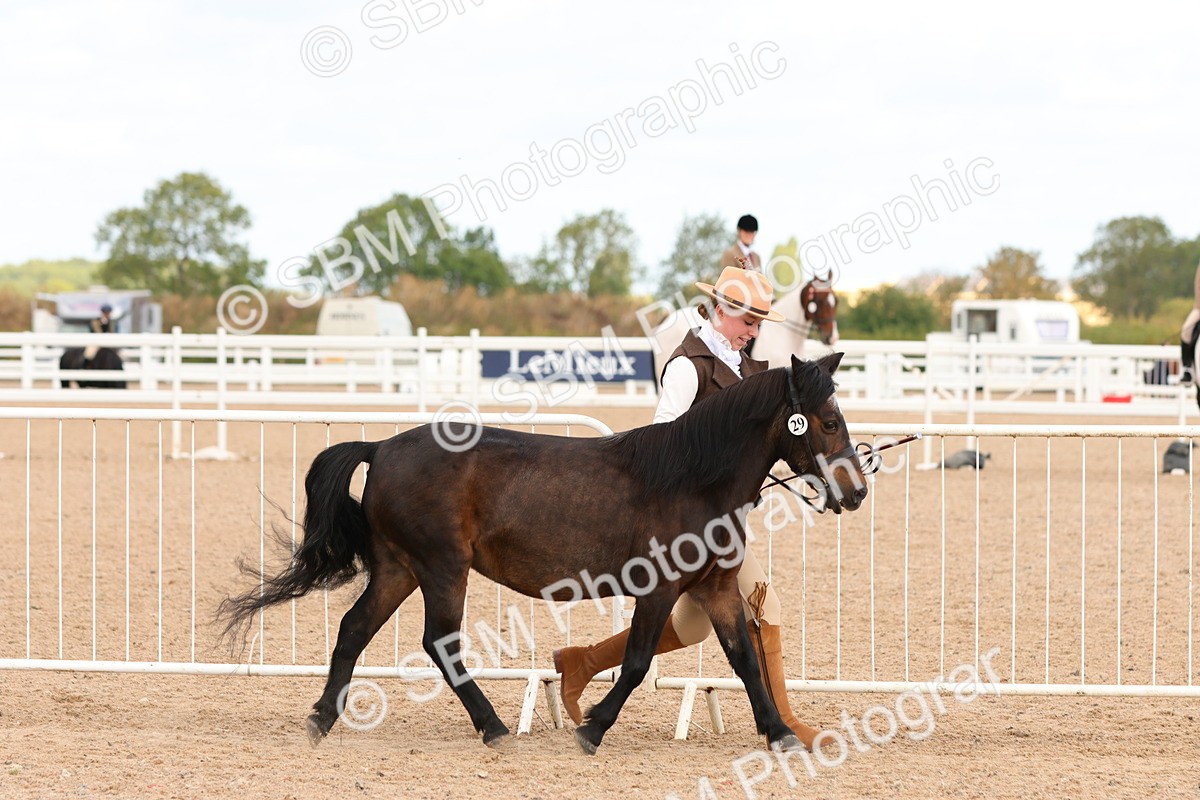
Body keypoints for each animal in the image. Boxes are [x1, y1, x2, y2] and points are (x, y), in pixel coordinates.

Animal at [222, 353, 867, 755]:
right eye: (827, 421)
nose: (857, 491)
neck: (693, 478)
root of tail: (381, 447)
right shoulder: (659, 586)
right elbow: (637, 663)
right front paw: (593, 731)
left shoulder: (715, 588)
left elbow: (746, 660)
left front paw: (780, 733)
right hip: (442, 569)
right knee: (440, 644)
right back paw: (494, 728)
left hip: (399, 569)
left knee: (354, 629)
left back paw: (320, 720)